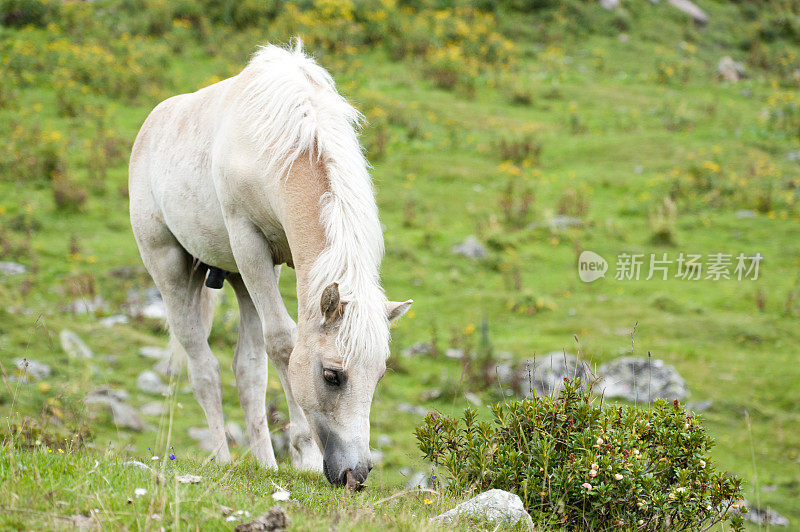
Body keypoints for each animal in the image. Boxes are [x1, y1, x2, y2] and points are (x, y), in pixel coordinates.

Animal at [130, 40, 412, 490]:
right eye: (332, 375)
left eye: (379, 375)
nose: (356, 475)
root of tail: (152, 123)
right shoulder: (249, 244)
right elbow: (283, 341)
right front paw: (307, 456)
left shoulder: (278, 264)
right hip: (171, 270)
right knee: (204, 369)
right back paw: (223, 458)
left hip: (242, 279)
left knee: (247, 372)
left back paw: (265, 465)